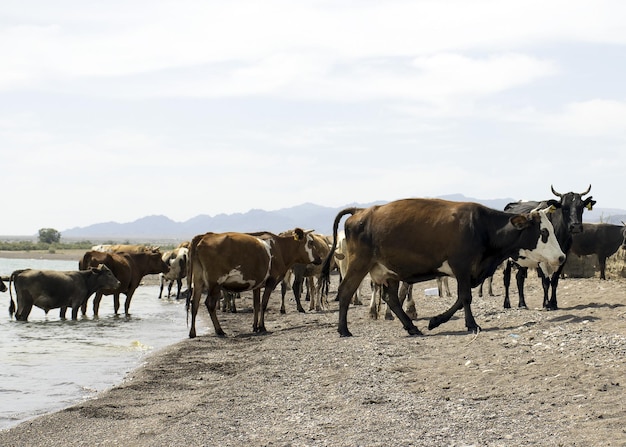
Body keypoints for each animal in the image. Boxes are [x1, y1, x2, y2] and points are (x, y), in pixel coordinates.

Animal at [185, 229, 322, 338]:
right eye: (311, 242)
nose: (320, 259)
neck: (280, 248)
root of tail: (204, 236)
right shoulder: (271, 281)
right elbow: (263, 304)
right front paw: (262, 327)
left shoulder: (257, 285)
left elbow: (256, 305)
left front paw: (255, 326)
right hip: (215, 283)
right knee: (209, 304)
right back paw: (219, 331)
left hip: (198, 281)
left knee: (194, 303)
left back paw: (192, 333)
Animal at [320, 198, 564, 338]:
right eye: (544, 232)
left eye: (552, 230)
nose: (561, 257)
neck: (481, 227)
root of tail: (360, 211)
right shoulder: (461, 266)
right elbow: (465, 297)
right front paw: (468, 324)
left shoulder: (464, 270)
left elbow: (460, 298)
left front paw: (437, 321)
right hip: (359, 264)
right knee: (345, 292)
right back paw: (344, 330)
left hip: (390, 272)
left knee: (392, 299)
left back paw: (412, 328)